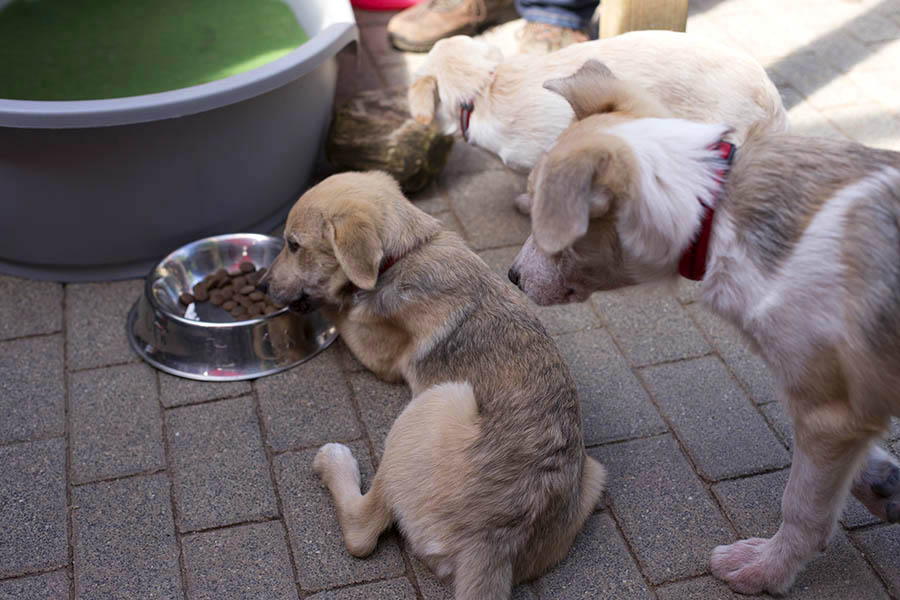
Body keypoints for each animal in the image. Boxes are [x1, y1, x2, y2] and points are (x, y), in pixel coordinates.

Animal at [258, 170, 604, 600]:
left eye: (293, 245)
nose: (261, 285)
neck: (405, 253)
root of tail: (492, 543)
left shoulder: (376, 353)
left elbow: (342, 308)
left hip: (437, 400)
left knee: (362, 530)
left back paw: (334, 462)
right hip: (594, 475)